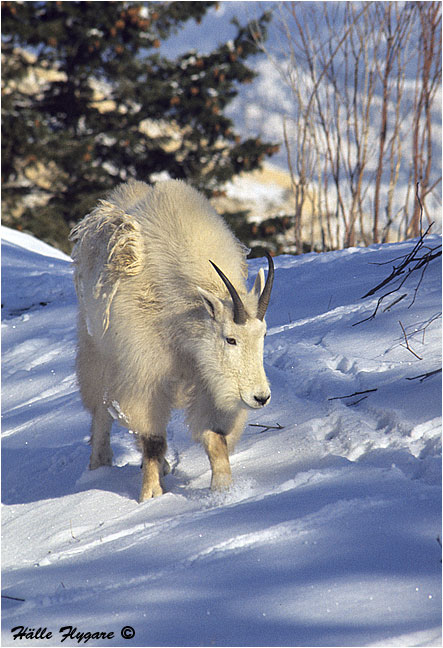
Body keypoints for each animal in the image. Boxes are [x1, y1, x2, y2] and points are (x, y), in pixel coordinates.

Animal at [70, 179, 274, 501]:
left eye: (262, 335)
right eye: (230, 339)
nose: (260, 397)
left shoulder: (206, 378)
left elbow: (215, 437)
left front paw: (223, 490)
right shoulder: (145, 373)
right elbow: (152, 437)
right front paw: (151, 494)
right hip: (97, 351)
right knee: (101, 410)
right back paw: (99, 463)